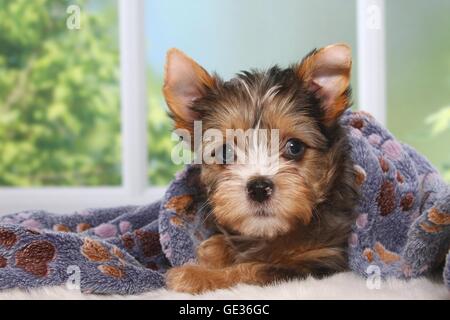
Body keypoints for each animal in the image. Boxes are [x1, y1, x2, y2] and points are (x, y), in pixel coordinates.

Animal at [162, 43, 358, 294]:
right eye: (225, 152)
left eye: (294, 147)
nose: (259, 188)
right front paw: (211, 251)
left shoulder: (319, 260)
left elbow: (252, 269)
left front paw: (197, 275)